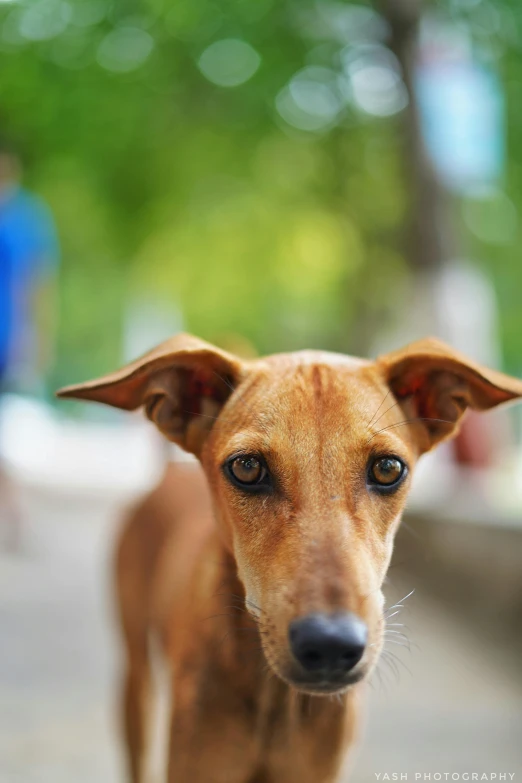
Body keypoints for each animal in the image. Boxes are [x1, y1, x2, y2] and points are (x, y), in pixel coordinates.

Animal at [57, 336, 520, 783]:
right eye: (246, 467)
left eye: (388, 468)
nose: (331, 645)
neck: (275, 705)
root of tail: (169, 471)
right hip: (135, 680)